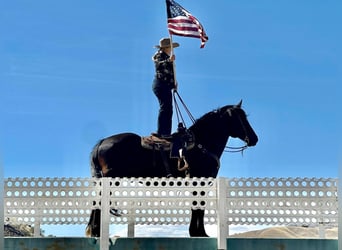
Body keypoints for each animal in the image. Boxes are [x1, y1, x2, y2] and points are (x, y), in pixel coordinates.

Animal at [85, 100, 256, 237]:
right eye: (239, 118)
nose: (254, 139)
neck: (202, 144)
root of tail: (102, 142)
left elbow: (197, 206)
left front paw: (196, 232)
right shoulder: (199, 183)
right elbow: (198, 207)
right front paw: (199, 233)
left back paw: (94, 231)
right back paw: (95, 232)